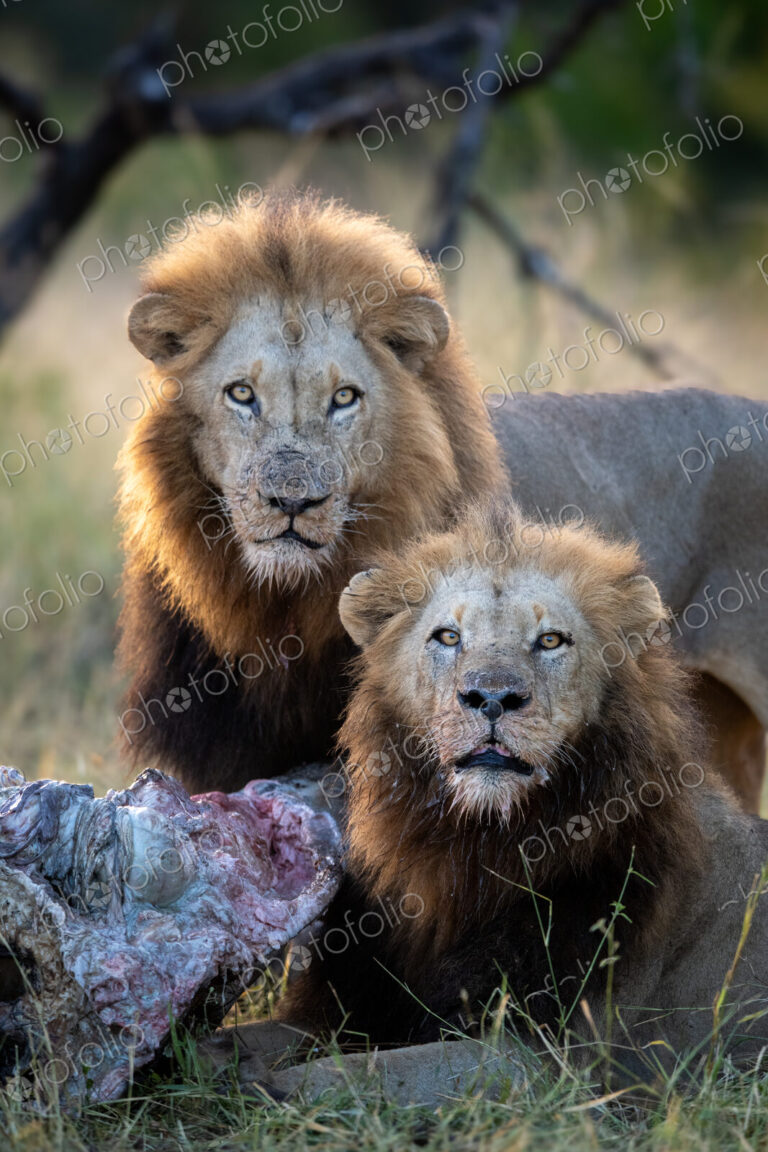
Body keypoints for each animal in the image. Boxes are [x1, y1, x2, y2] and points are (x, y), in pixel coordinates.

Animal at [279, 503, 768, 1080]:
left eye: (550, 640)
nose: (492, 697)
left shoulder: (535, 1059)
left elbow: (339, 1075)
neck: (469, 848)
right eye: (448, 637)